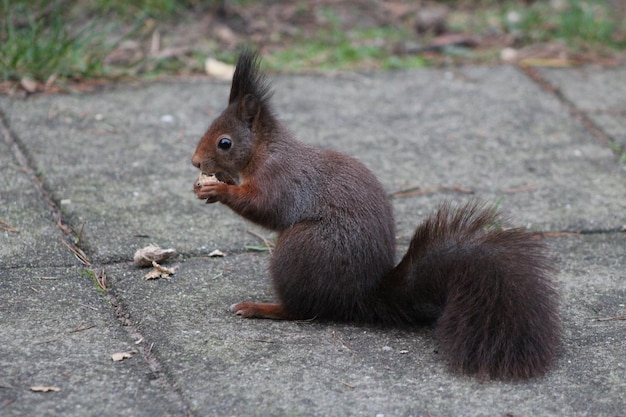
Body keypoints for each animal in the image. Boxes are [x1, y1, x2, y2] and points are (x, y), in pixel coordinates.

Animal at [189, 49, 556, 380]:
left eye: (224, 142)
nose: (195, 162)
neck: (265, 151)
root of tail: (362, 297)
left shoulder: (283, 180)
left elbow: (267, 208)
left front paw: (218, 190)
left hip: (299, 250)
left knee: (302, 310)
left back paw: (260, 308)